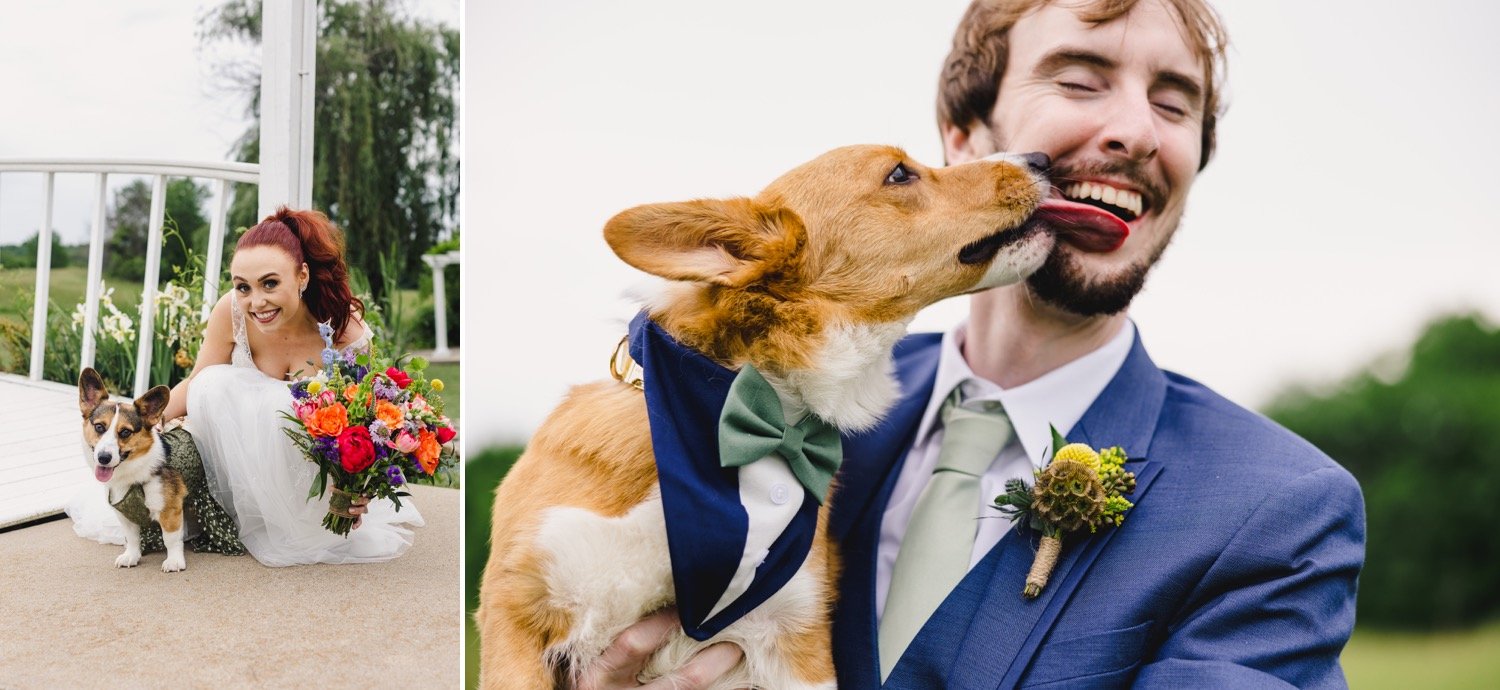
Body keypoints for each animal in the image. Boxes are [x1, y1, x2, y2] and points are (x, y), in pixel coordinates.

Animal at [78, 369, 187, 573]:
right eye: (99, 427)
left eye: (125, 432)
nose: (103, 457)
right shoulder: (125, 515)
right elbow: (132, 538)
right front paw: (131, 556)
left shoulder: (169, 510)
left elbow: (170, 538)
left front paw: (174, 561)